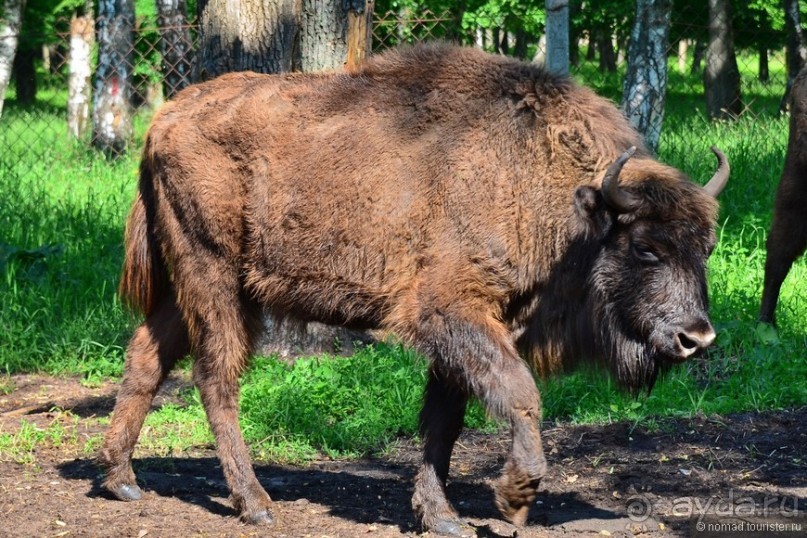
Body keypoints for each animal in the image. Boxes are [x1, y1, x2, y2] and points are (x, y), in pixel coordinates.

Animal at [101, 45, 732, 532]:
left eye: (706, 247)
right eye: (645, 247)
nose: (696, 337)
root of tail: (166, 118)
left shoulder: (471, 332)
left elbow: (444, 422)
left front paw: (442, 516)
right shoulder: (452, 312)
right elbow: (519, 392)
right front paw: (514, 498)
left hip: (185, 289)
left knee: (146, 356)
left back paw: (121, 479)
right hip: (216, 280)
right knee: (215, 377)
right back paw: (255, 504)